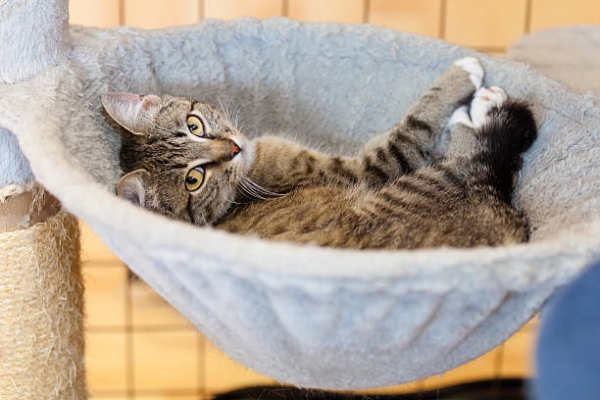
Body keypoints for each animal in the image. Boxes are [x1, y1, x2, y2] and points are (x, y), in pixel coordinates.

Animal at [101, 57, 536, 248]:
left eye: (194, 125)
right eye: (194, 179)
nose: (234, 147)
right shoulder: (370, 167)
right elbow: (415, 126)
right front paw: (460, 76)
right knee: (470, 163)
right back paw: (481, 111)